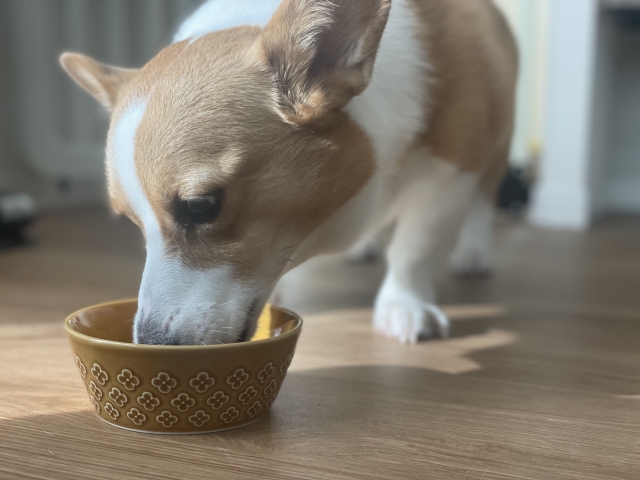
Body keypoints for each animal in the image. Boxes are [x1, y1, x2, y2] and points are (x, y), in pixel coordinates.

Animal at [60, 0, 516, 344]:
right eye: (132, 222)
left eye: (201, 205)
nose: (153, 343)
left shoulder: (452, 171)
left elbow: (415, 246)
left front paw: (404, 306)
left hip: (498, 145)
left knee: (484, 200)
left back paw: (473, 253)